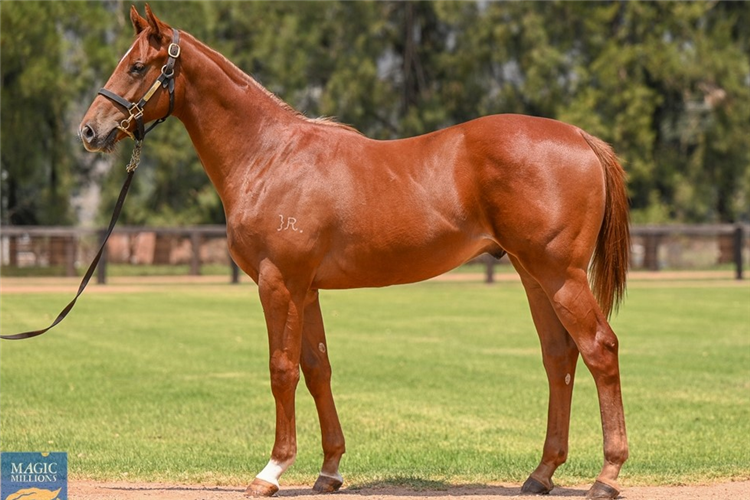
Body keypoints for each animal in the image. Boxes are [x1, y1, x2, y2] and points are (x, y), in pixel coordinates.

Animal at [81, 4, 628, 500]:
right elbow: (317, 370)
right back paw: (541, 474)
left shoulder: (278, 282)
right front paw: (329, 471)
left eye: (137, 67)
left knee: (599, 349)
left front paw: (271, 472)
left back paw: (606, 477)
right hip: (532, 274)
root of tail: (580, 137)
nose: (89, 130)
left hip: (560, 274)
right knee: (559, 357)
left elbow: (282, 370)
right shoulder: (306, 289)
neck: (269, 156)